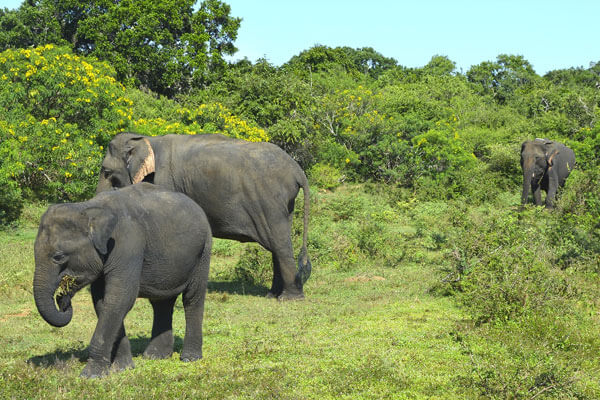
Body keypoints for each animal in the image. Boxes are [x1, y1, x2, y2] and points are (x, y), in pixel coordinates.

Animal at [32, 184, 212, 378]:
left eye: (58, 257)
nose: (63, 299)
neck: (87, 208)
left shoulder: (127, 247)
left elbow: (120, 298)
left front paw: (91, 375)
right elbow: (103, 302)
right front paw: (123, 368)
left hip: (203, 250)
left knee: (192, 298)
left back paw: (189, 358)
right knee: (161, 302)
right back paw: (156, 356)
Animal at [96, 133, 312, 298]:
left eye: (106, 171)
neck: (146, 140)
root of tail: (297, 170)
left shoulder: (164, 182)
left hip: (270, 200)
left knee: (280, 244)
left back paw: (289, 298)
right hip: (283, 205)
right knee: (277, 244)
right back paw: (272, 295)